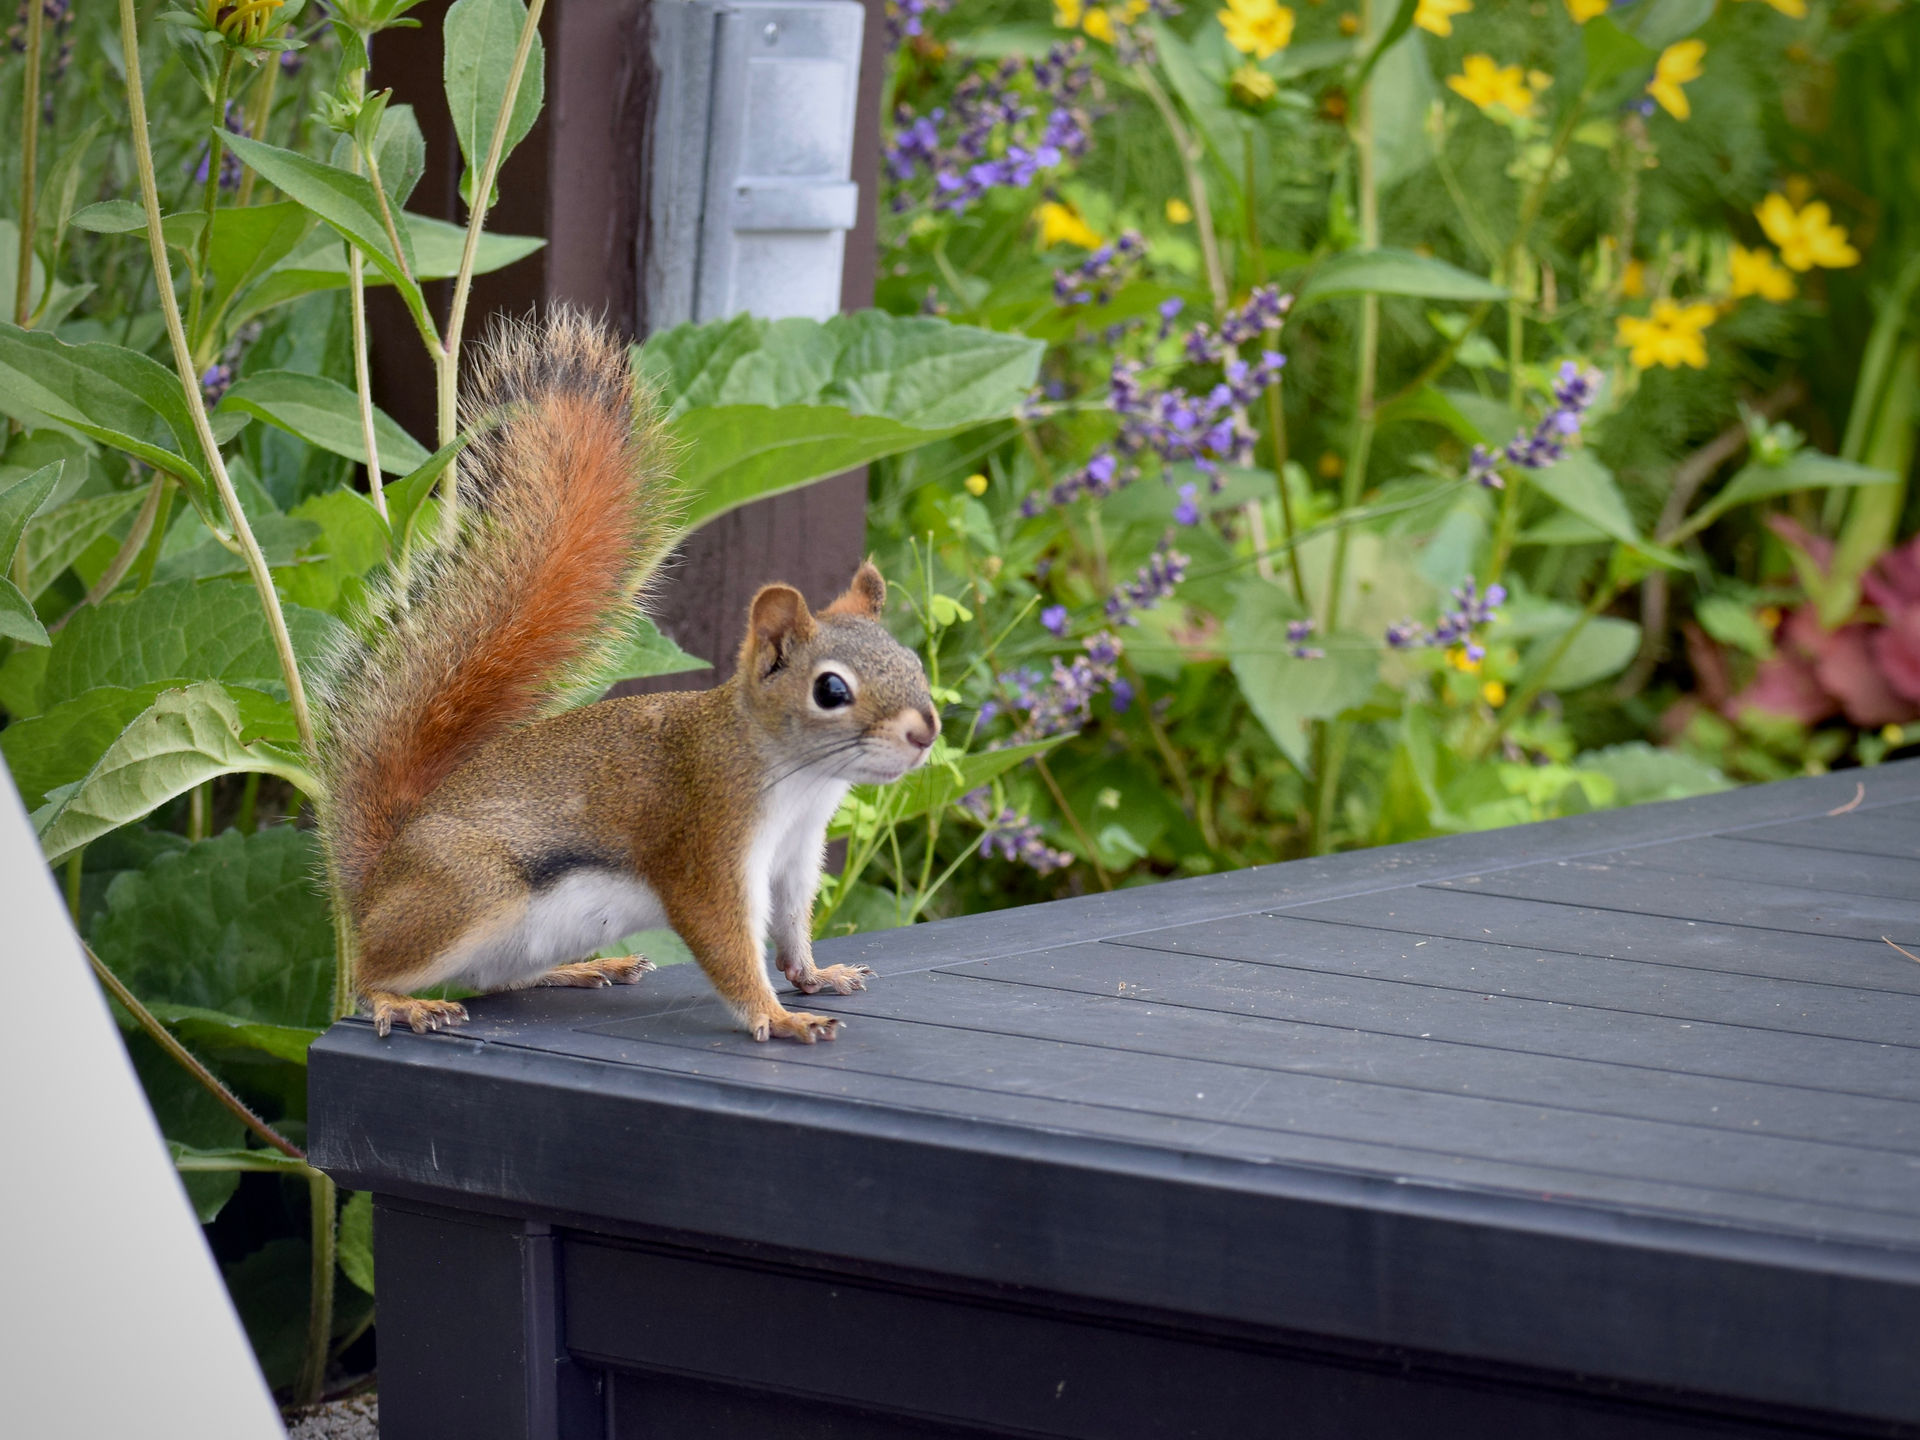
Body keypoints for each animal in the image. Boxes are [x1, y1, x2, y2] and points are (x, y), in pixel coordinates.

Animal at [314, 311, 940, 1043]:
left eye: (913, 664)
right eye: (831, 690)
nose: (925, 732)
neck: (798, 780)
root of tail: (377, 878)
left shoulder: (794, 860)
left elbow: (791, 932)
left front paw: (816, 978)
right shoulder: (705, 840)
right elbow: (727, 940)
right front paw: (779, 1017)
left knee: (499, 978)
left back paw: (583, 968)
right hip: (468, 893)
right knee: (370, 976)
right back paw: (400, 1001)